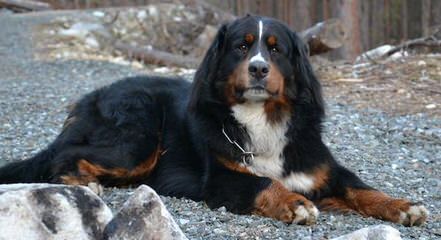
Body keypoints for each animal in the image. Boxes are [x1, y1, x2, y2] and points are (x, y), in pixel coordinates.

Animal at [0, 15, 426, 225]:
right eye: (241, 47)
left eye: (276, 50)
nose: (258, 69)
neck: (262, 118)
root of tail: (95, 94)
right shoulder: (222, 178)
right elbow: (264, 182)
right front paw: (294, 203)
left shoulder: (323, 168)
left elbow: (363, 189)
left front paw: (403, 206)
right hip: (137, 139)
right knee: (66, 154)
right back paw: (84, 183)